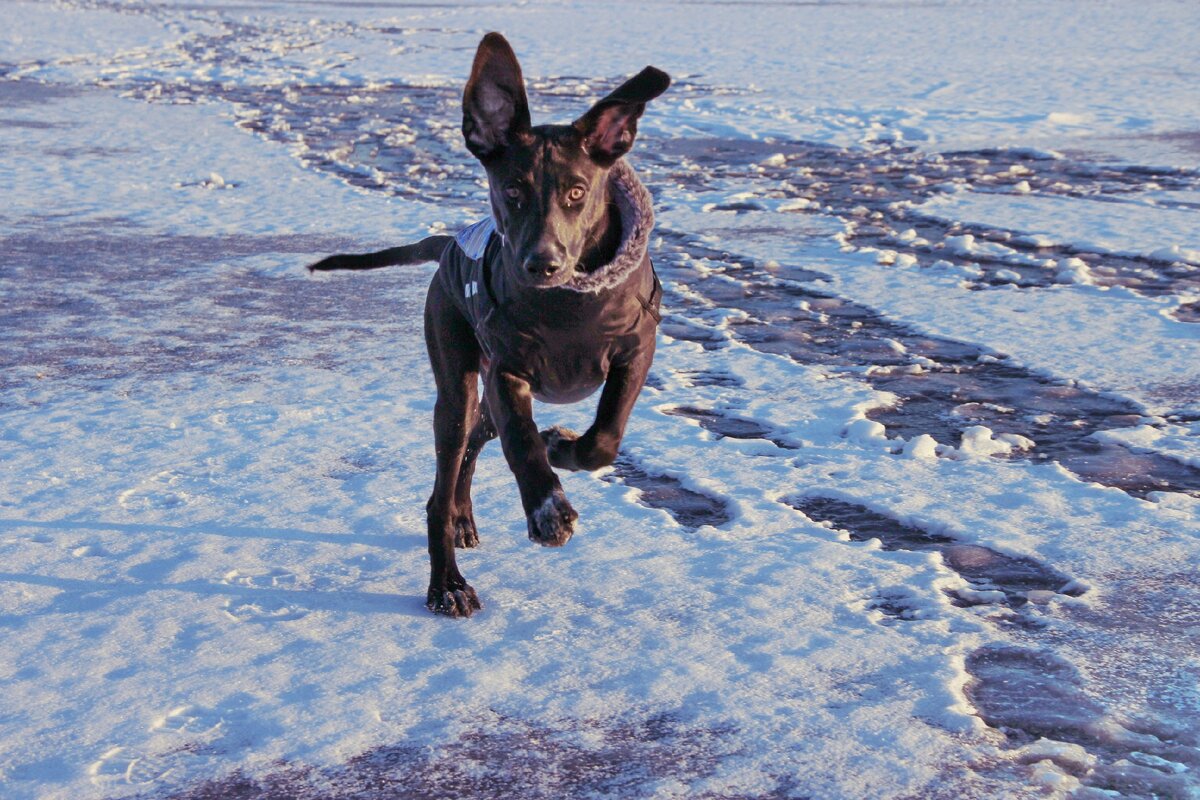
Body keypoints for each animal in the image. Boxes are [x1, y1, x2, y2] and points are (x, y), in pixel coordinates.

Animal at [307, 32, 667, 618]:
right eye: (512, 191)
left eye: (577, 192)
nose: (541, 264)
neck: (569, 305)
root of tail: (449, 244)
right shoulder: (508, 370)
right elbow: (522, 445)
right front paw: (547, 505)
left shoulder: (636, 351)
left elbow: (604, 439)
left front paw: (563, 445)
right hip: (455, 379)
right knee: (448, 470)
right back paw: (447, 583)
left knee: (478, 439)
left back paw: (465, 518)